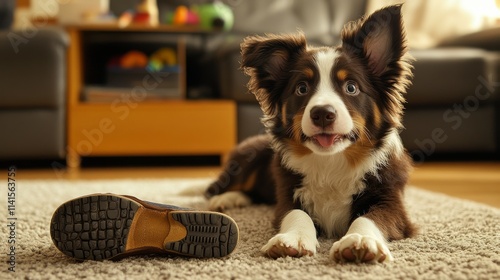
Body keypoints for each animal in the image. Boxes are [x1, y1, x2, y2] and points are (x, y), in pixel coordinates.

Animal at [205, 4, 416, 262]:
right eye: (302, 88)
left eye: (351, 87)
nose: (323, 113)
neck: (331, 162)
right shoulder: (287, 195)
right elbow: (296, 213)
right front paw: (291, 239)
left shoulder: (391, 202)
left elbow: (370, 217)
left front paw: (360, 241)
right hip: (247, 156)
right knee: (218, 188)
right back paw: (226, 198)